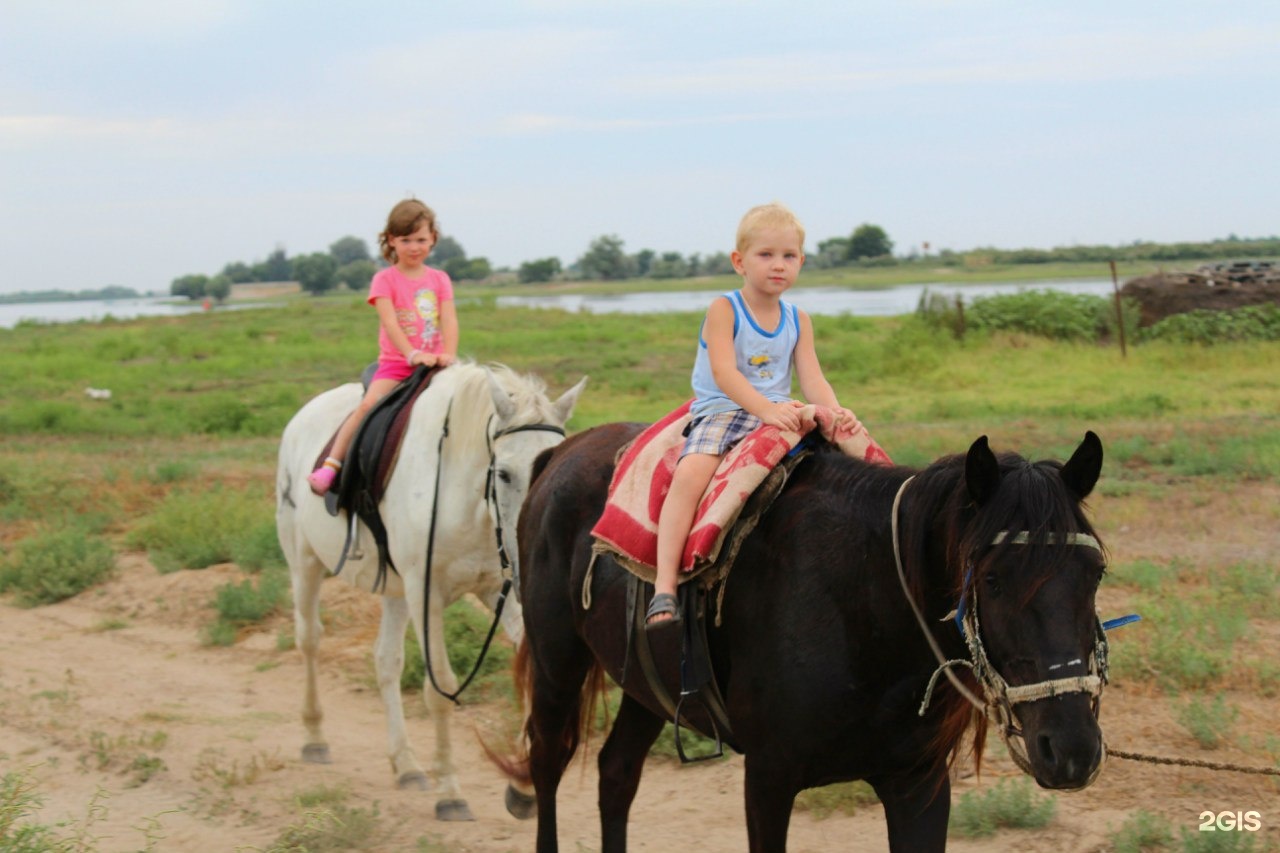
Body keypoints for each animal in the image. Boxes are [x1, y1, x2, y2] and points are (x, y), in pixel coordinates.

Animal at [277, 361, 586, 819]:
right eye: (504, 473)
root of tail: (300, 418)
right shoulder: (429, 596)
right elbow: (439, 687)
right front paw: (451, 792)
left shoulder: (498, 589)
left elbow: (532, 671)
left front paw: (524, 788)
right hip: (305, 563)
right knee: (310, 641)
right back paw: (315, 738)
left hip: (396, 591)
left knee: (386, 661)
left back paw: (406, 765)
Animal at [504, 422, 1105, 845]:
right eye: (992, 580)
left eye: (1095, 573)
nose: (1071, 747)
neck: (868, 611)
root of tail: (561, 452)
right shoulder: (768, 782)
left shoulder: (918, 786)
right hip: (558, 667)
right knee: (548, 764)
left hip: (648, 689)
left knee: (616, 773)